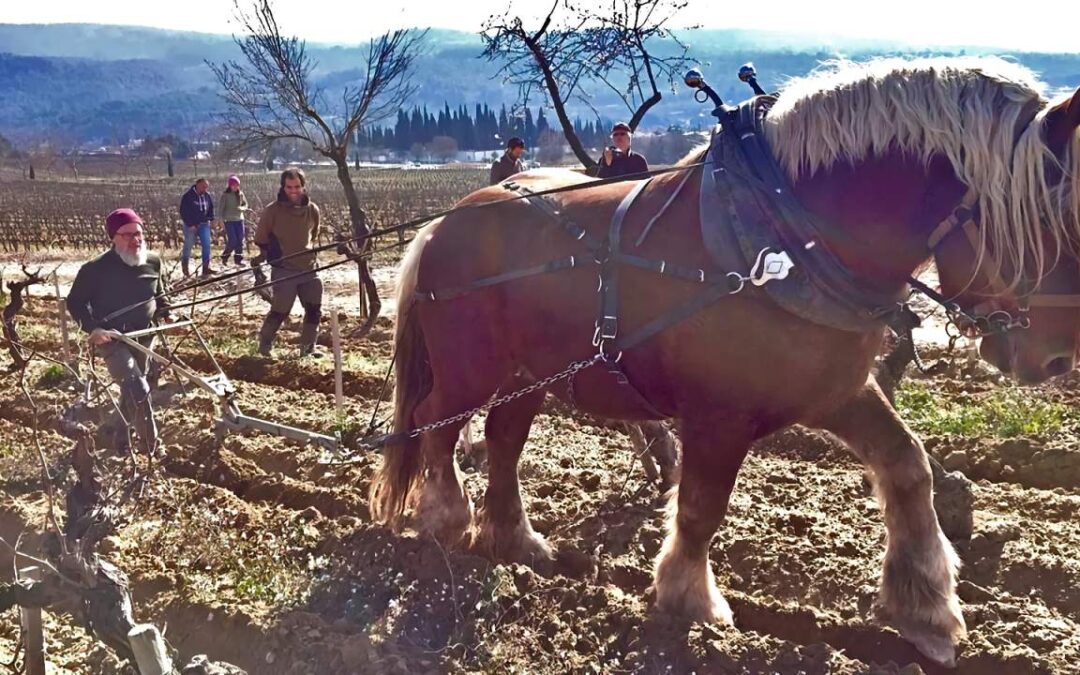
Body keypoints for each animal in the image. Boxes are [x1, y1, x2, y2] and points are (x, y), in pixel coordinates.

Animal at [369, 57, 1080, 667]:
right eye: (1053, 221)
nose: (1056, 358)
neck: (785, 236)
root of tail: (444, 223)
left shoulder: (837, 389)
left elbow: (907, 467)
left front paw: (927, 612)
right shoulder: (718, 414)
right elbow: (701, 506)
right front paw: (690, 599)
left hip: (526, 376)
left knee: (503, 439)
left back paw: (514, 540)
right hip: (470, 367)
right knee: (435, 424)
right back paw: (445, 519)